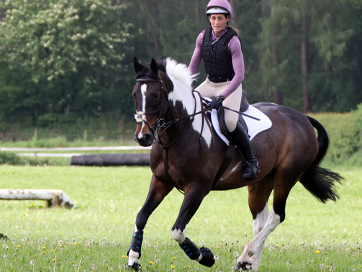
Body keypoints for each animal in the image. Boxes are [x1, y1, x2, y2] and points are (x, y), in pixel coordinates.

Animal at [126, 56, 342, 270]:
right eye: (134, 94)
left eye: (155, 95)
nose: (142, 137)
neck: (180, 131)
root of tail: (302, 118)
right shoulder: (161, 181)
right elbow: (141, 216)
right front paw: (133, 258)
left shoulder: (197, 189)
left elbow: (177, 231)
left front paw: (205, 257)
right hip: (262, 181)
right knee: (260, 223)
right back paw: (250, 263)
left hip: (286, 177)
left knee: (276, 216)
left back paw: (245, 256)